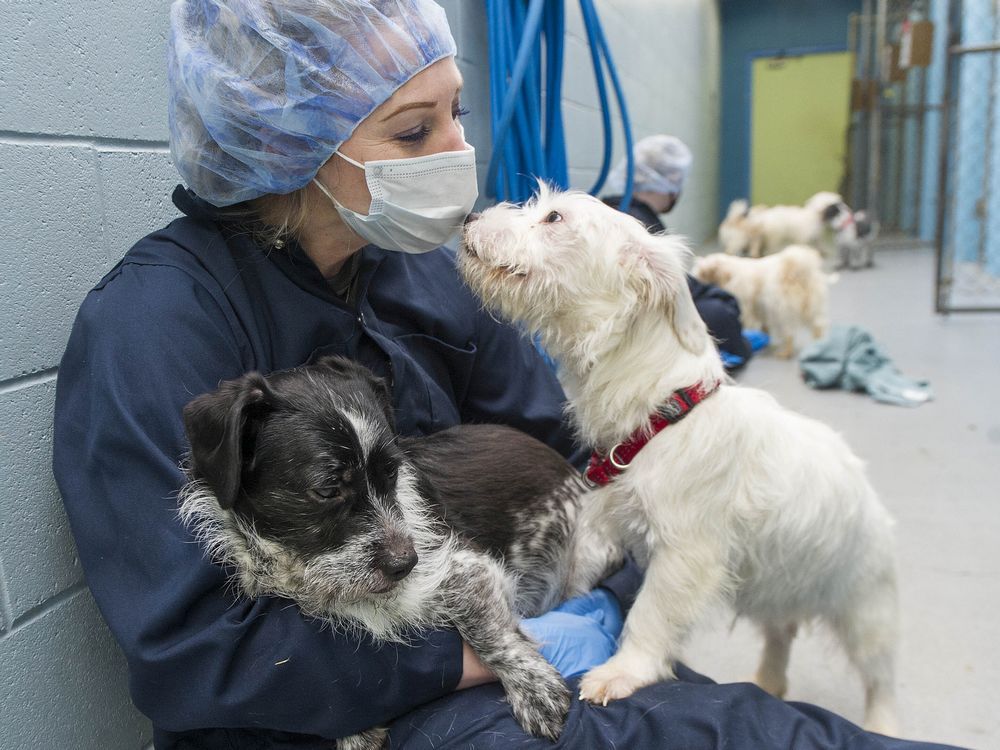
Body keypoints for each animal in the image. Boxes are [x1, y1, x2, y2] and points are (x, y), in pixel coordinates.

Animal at [180, 356, 616, 750]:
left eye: (392, 472)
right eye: (328, 488)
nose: (406, 564)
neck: (308, 572)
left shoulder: (465, 566)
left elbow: (488, 630)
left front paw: (533, 688)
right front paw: (356, 730)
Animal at [692, 245, 832, 360]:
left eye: (701, 274)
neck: (728, 274)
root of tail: (796, 269)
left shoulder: (746, 309)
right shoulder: (760, 310)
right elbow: (765, 326)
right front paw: (764, 336)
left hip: (782, 313)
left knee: (789, 335)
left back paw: (784, 353)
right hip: (812, 309)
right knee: (818, 327)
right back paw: (818, 347)